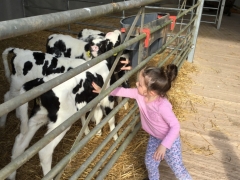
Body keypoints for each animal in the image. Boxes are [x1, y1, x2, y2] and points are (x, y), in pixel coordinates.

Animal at [7, 51, 121, 179]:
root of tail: (41, 81)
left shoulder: (94, 100)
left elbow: (97, 114)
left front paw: (96, 131)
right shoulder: (108, 98)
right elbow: (110, 118)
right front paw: (115, 138)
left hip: (38, 116)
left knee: (20, 143)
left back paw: (12, 175)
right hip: (61, 122)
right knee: (45, 151)